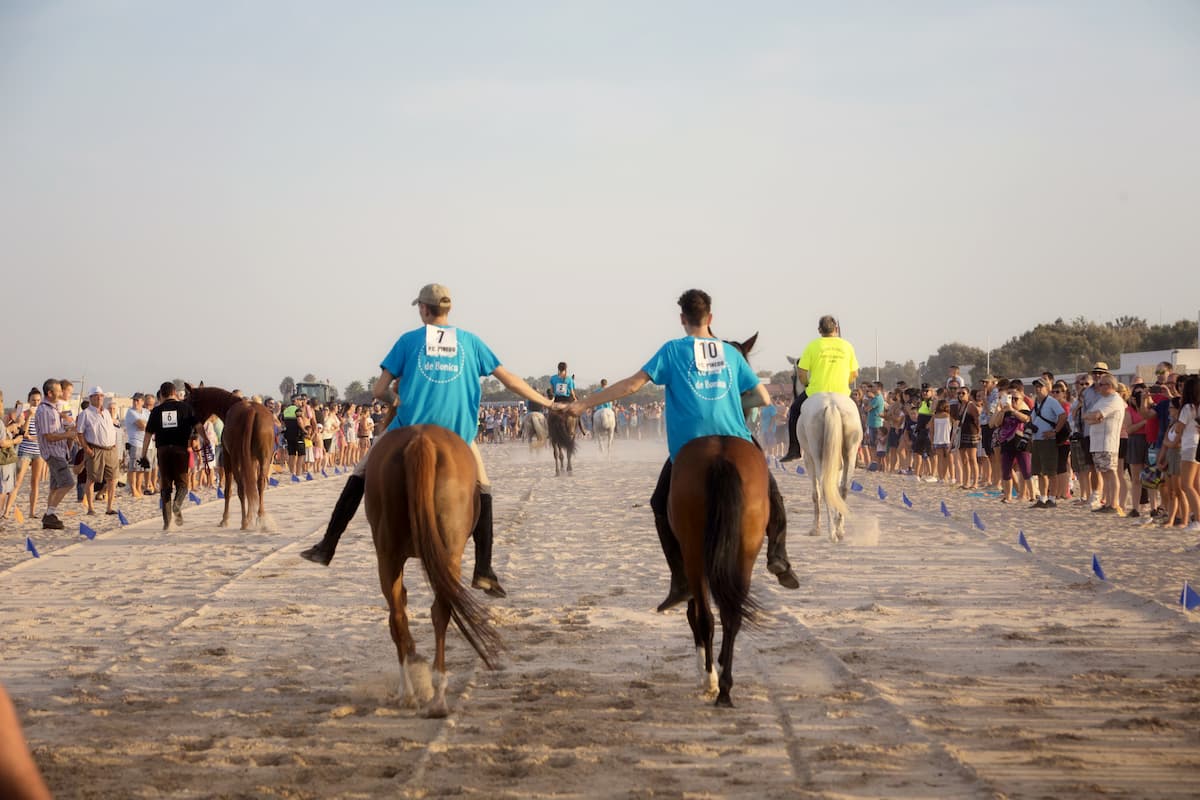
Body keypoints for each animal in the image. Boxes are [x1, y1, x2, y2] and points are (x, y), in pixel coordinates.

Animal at [183, 386, 277, 532]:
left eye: (189, 403)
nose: (192, 433)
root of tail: (251, 411)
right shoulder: (251, 460)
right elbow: (251, 485)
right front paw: (250, 516)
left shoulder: (228, 459)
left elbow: (228, 490)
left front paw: (225, 519)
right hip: (264, 458)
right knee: (259, 483)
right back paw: (260, 518)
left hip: (235, 458)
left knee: (241, 487)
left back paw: (244, 522)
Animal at [362, 424, 499, 719]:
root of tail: (420, 439)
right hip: (449, 552)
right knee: (440, 611)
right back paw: (437, 694)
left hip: (387, 555)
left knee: (398, 615)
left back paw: (410, 692)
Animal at [667, 438, 768, 705]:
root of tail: (720, 459)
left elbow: (695, 614)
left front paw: (707, 671)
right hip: (746, 551)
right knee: (731, 614)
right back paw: (724, 687)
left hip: (693, 553)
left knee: (704, 617)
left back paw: (711, 680)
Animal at [796, 391, 864, 542]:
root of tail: (832, 405)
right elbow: (836, 489)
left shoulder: (808, 459)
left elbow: (816, 493)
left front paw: (815, 529)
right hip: (850, 452)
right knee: (844, 487)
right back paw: (839, 530)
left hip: (817, 454)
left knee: (824, 487)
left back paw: (831, 532)